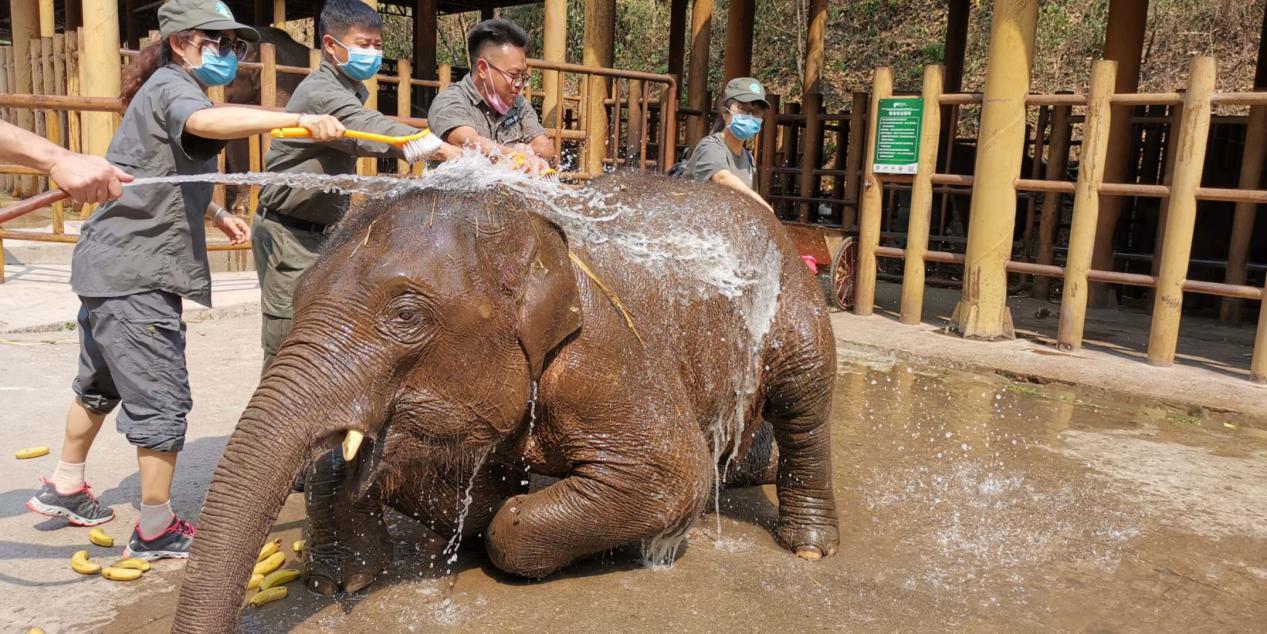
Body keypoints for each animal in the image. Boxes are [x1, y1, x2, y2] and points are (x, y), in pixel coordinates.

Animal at [171, 166, 841, 631]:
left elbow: (673, 477)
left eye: (406, 315)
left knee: (804, 400)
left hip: (796, 304)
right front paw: (340, 585)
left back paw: (809, 548)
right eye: (300, 292)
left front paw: (660, 540)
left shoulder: (607, 352)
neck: (526, 227)